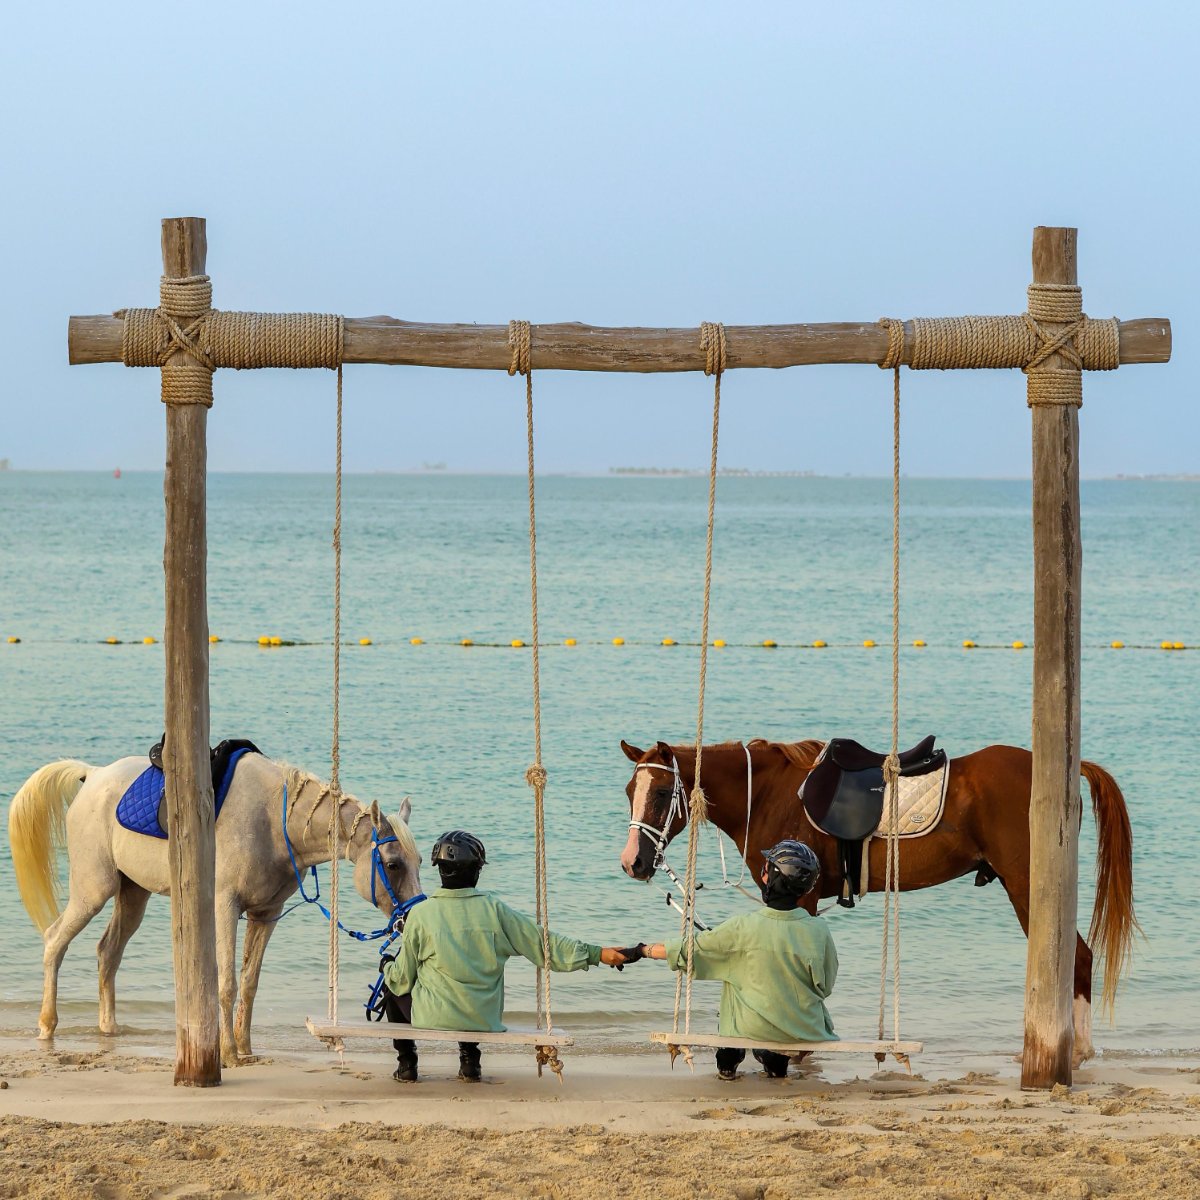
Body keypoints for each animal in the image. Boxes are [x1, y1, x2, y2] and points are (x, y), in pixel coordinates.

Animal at [7, 751, 423, 1067]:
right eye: (392, 864)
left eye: (419, 861)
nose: (409, 919)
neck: (274, 820)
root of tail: (92, 776)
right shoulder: (225, 907)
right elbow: (226, 983)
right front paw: (228, 1053)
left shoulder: (265, 914)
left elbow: (250, 983)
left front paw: (246, 1048)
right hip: (93, 891)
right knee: (54, 941)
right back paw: (47, 1024)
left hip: (132, 895)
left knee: (107, 953)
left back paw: (108, 1028)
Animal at [618, 738, 1137, 1066]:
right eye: (629, 791)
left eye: (661, 792)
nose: (633, 862)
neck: (765, 793)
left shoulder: (801, 897)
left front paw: (797, 1049)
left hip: (1027, 885)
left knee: (1078, 957)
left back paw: (1077, 1051)